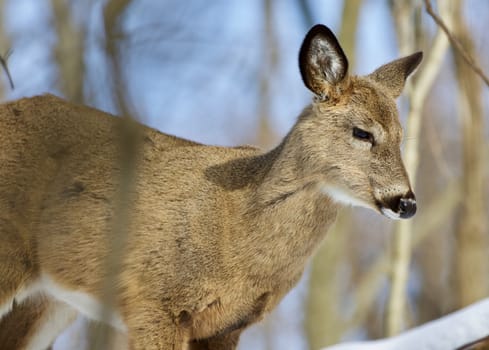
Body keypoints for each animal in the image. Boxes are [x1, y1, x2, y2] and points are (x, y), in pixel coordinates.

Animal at [0, 25, 420, 350]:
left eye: (402, 136)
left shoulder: (227, 326)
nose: (406, 202)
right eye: (362, 132)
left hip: (49, 301)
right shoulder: (155, 303)